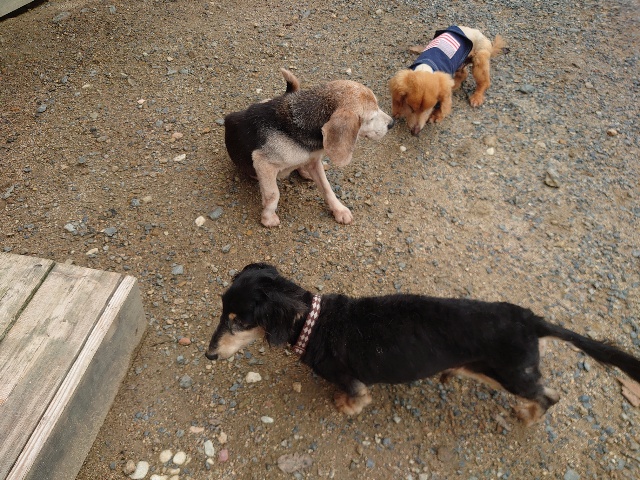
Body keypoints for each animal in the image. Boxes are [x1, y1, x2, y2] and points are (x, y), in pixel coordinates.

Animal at [206, 263, 640, 426]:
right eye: (221, 311)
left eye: (239, 321)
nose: (208, 354)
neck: (315, 324)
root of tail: (532, 319)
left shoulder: (352, 379)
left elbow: (355, 398)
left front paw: (345, 406)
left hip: (509, 373)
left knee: (549, 395)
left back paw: (526, 416)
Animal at [224, 69, 394, 227]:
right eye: (371, 117)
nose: (392, 124)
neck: (300, 119)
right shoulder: (262, 162)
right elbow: (273, 194)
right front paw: (268, 218)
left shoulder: (314, 160)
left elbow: (327, 188)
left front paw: (339, 210)